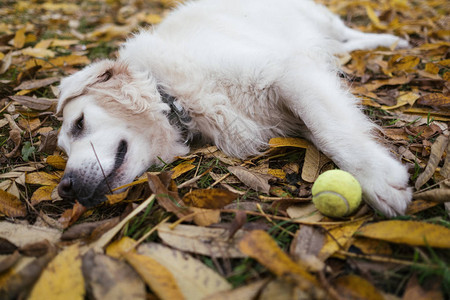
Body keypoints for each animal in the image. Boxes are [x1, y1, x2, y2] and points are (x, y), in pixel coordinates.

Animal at [55, 0, 412, 217]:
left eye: (79, 123)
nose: (64, 189)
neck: (173, 97)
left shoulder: (287, 73)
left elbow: (331, 131)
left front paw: (379, 181)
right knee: (339, 45)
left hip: (319, 19)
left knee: (346, 33)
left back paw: (392, 41)